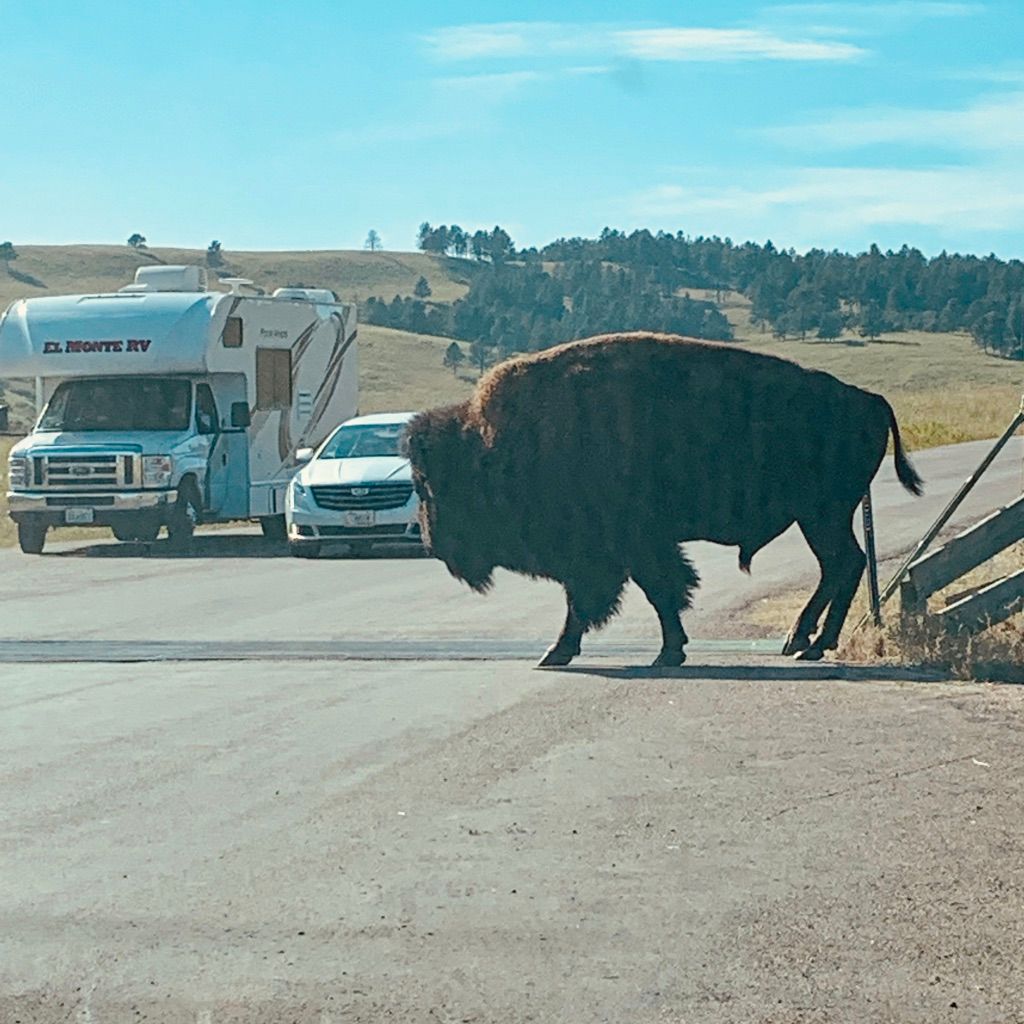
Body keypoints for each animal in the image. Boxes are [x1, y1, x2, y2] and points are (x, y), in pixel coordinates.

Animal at [403, 335, 925, 667]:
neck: (498, 446)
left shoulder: (614, 551)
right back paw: (803, 641)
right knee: (843, 565)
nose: (433, 542)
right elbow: (652, 592)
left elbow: (642, 593)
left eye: (429, 485)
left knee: (843, 564)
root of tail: (868, 398)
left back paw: (809, 644)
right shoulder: (629, 550)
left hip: (822, 516)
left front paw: (563, 653)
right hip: (821, 517)